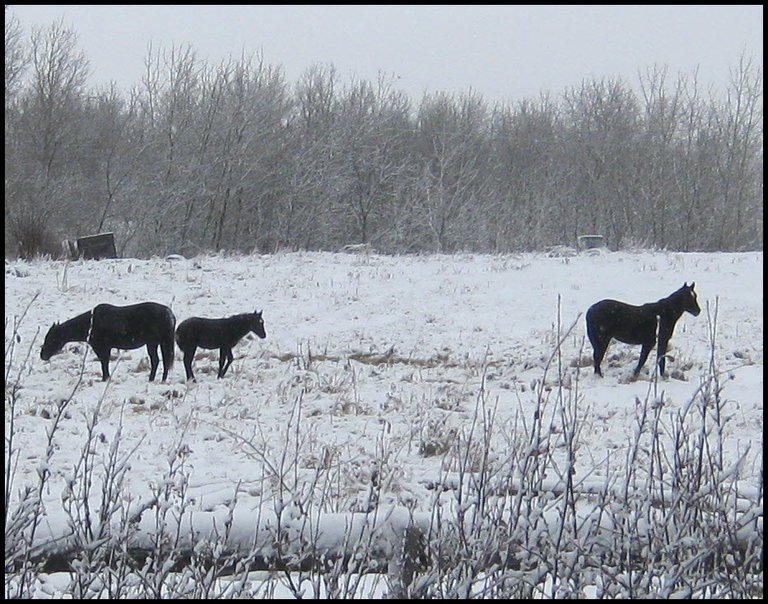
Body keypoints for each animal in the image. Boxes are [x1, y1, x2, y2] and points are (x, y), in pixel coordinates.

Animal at [41, 302, 177, 382]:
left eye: (52, 339)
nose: (43, 356)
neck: (91, 324)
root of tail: (170, 313)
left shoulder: (102, 347)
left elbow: (104, 363)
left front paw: (105, 378)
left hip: (157, 342)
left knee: (160, 361)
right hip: (155, 343)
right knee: (159, 361)